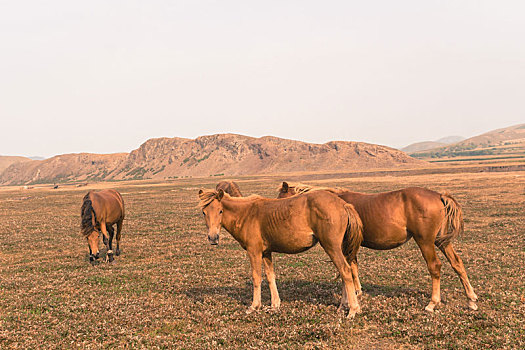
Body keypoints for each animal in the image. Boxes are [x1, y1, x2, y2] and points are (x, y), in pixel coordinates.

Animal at [199, 189, 362, 318]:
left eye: (220, 211)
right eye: (204, 212)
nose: (213, 238)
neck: (247, 214)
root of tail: (343, 204)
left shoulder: (254, 252)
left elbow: (256, 277)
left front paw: (254, 306)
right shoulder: (266, 253)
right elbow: (270, 276)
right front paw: (274, 305)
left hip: (331, 247)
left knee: (345, 271)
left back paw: (353, 310)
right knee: (345, 272)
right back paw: (343, 306)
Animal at [278, 183, 478, 312]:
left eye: (281, 197)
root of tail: (439, 196)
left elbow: (349, 270)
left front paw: (350, 300)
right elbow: (354, 268)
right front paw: (356, 294)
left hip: (426, 242)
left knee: (435, 267)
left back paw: (432, 303)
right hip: (441, 241)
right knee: (457, 263)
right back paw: (471, 300)